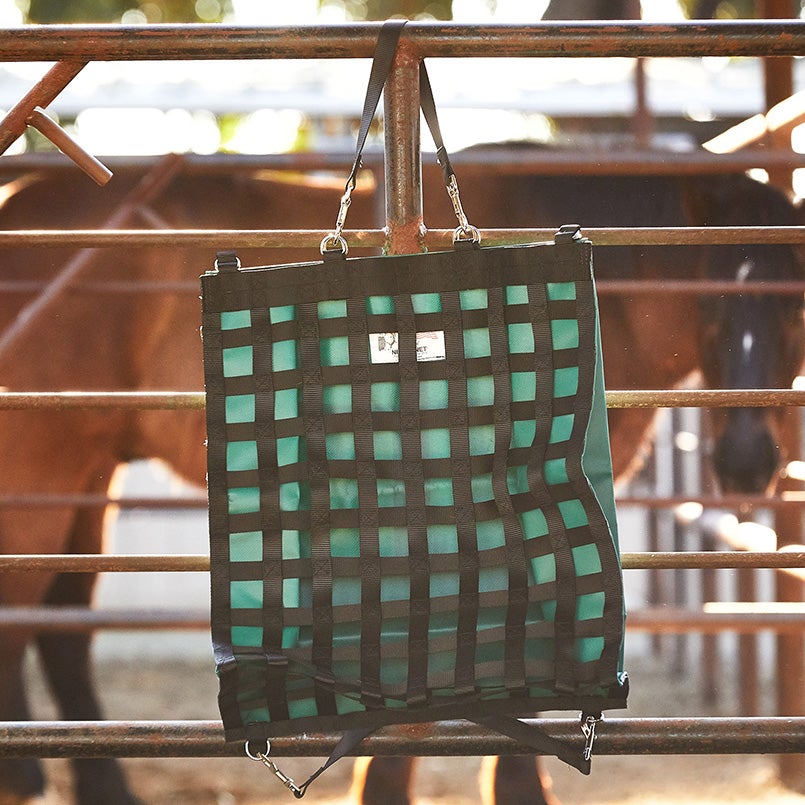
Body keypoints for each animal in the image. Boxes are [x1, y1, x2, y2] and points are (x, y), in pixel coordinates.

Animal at [0, 152, 796, 804]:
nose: (746, 460)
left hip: (90, 475)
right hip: (44, 470)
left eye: (795, 302)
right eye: (710, 300)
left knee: (63, 630)